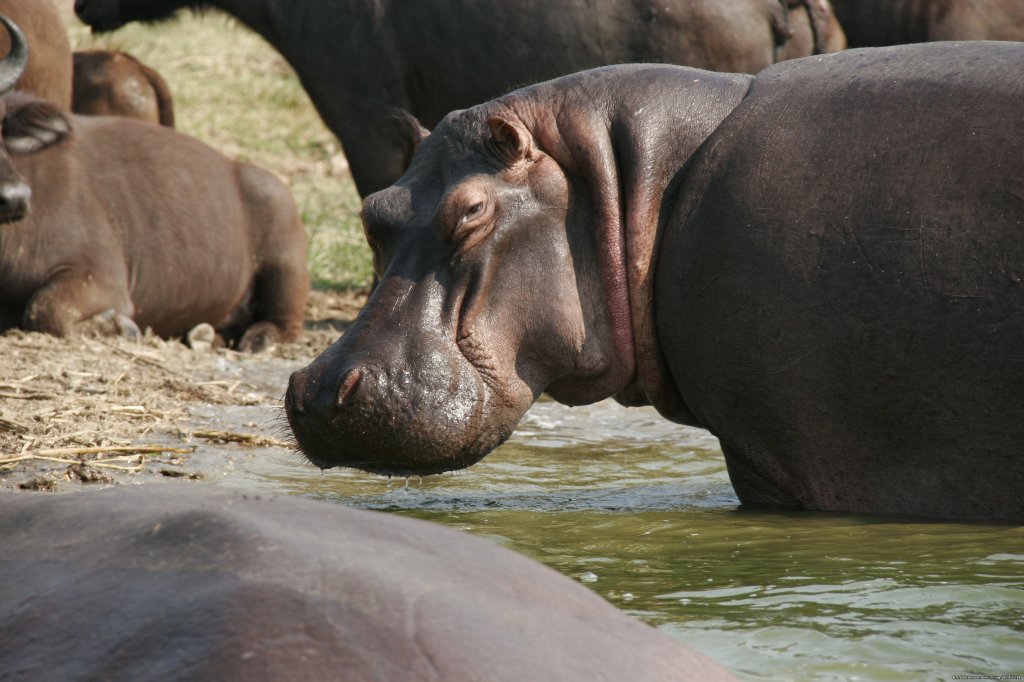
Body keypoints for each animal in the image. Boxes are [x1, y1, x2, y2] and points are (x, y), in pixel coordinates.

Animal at [0, 16, 305, 350]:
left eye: (1, 123)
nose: (14, 198)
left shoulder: (101, 277)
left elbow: (44, 307)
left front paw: (121, 327)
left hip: (285, 255)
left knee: (285, 321)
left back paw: (260, 338)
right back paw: (203, 334)